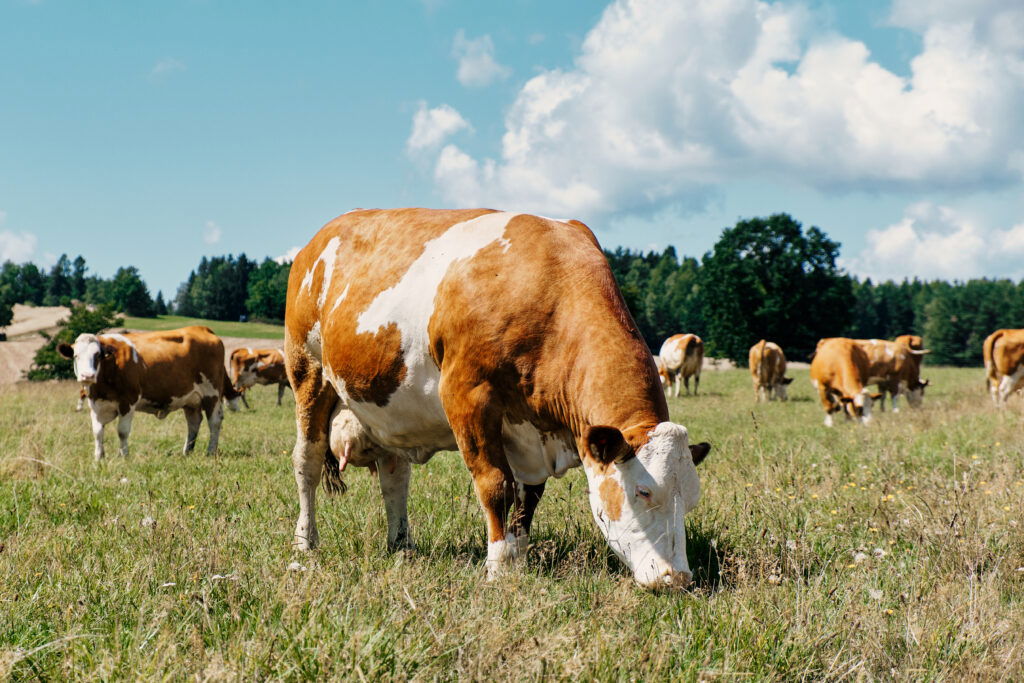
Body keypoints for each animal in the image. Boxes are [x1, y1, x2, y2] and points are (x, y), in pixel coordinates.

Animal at [59, 325, 241, 458]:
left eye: (97, 355)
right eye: (76, 356)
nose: (87, 376)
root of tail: (202, 328)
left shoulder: (128, 401)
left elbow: (122, 431)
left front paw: (124, 456)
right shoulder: (95, 403)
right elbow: (97, 432)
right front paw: (98, 458)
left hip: (212, 393)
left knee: (214, 422)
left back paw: (210, 451)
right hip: (191, 399)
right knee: (194, 422)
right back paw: (186, 452)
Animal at [280, 206, 712, 589]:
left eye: (690, 500)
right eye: (644, 491)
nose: (678, 578)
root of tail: (320, 237)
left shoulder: (528, 430)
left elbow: (528, 496)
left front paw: (518, 558)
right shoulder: (468, 397)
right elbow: (496, 485)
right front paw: (499, 565)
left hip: (389, 406)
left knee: (394, 475)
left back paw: (401, 544)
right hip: (308, 372)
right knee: (308, 462)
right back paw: (305, 542)